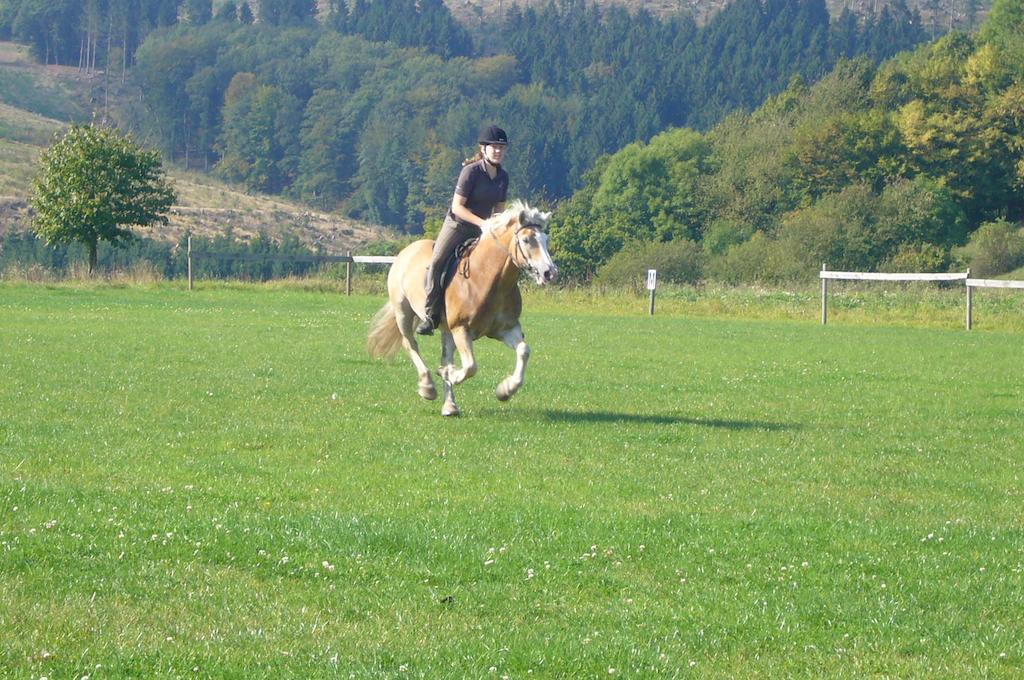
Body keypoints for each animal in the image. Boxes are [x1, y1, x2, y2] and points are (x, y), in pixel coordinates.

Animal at [368, 199, 557, 417]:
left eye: (545, 239)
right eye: (526, 240)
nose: (549, 273)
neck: (488, 279)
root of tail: (407, 251)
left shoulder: (505, 329)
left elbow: (524, 351)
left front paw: (505, 390)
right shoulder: (461, 328)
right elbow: (471, 366)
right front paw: (448, 374)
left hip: (446, 329)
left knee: (445, 356)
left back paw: (450, 405)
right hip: (403, 313)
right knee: (410, 344)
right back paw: (428, 387)